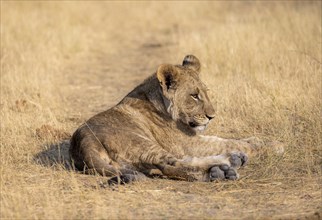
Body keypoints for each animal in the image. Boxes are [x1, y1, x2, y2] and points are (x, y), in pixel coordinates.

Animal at [70, 55, 260, 184]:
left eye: (206, 93)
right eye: (194, 96)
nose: (212, 117)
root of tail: (83, 143)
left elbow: (223, 139)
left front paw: (253, 139)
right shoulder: (186, 142)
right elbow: (223, 142)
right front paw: (261, 145)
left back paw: (228, 165)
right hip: (144, 144)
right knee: (173, 165)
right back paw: (225, 168)